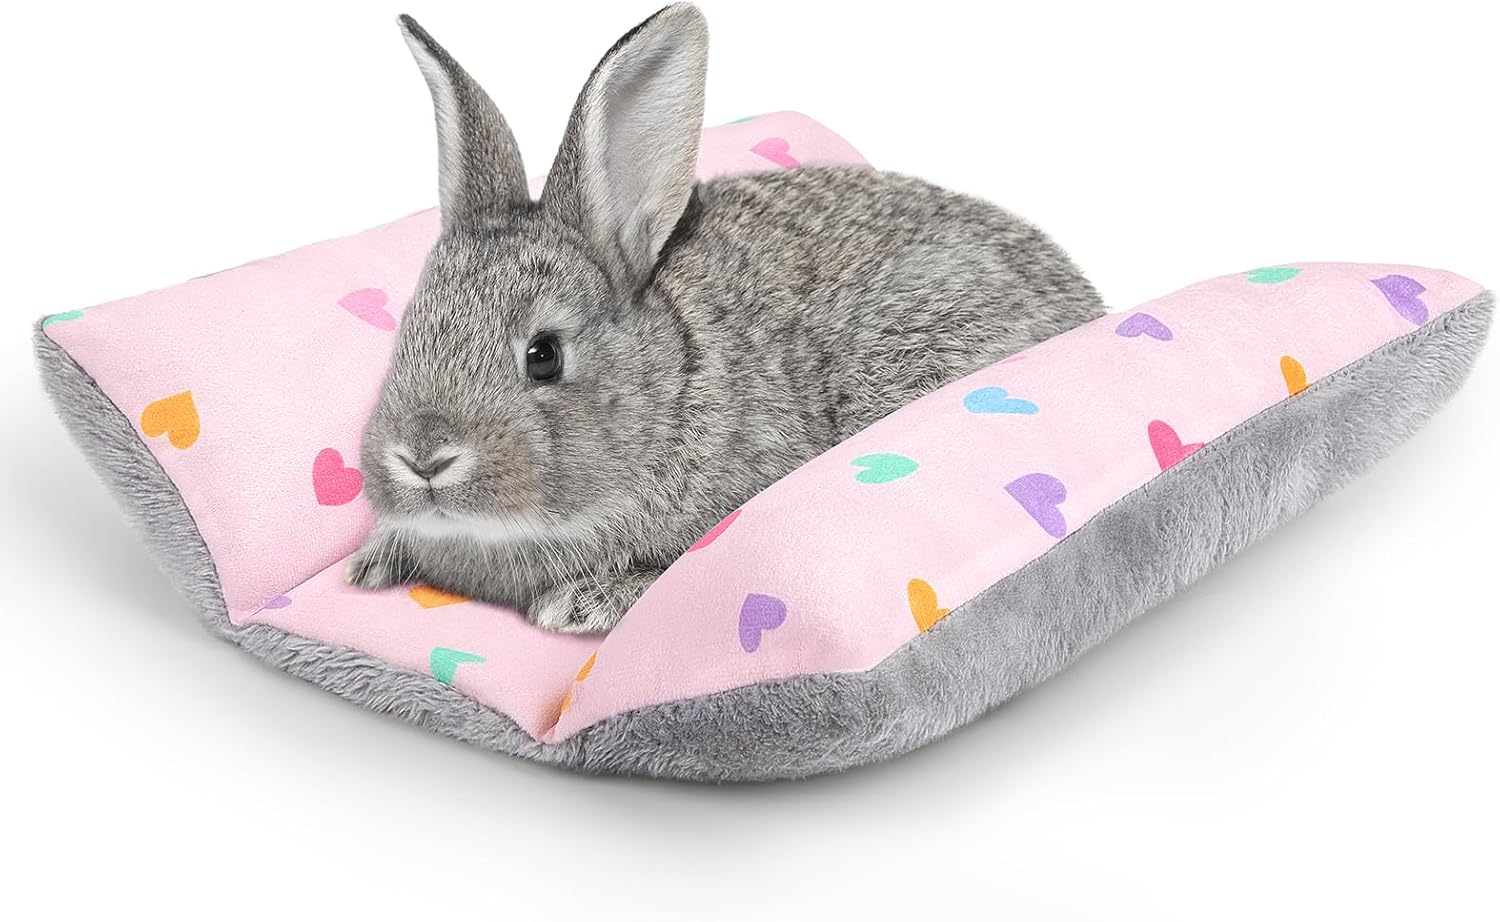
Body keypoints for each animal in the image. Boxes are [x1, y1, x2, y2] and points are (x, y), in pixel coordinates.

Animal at [346, 3, 1106, 633]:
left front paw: (585, 602)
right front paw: (373, 559)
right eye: (408, 332)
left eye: (544, 355)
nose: (424, 458)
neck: (670, 385)